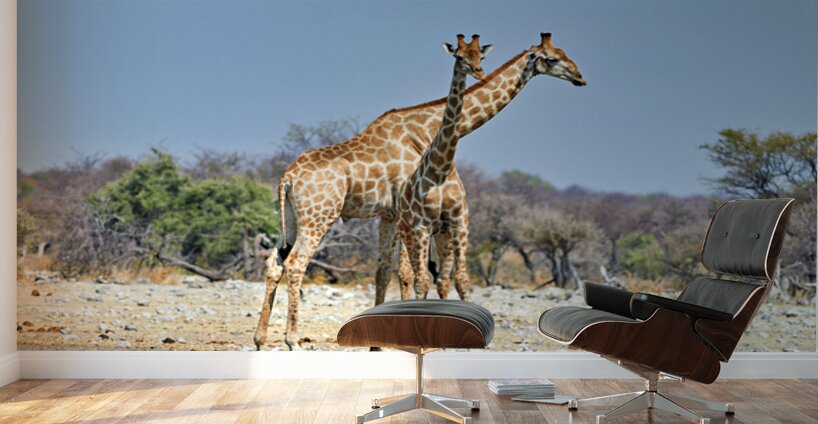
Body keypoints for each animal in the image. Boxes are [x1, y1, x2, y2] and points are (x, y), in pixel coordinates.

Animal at [396, 34, 492, 301]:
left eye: (481, 56)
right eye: (459, 56)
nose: (479, 72)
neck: (441, 170)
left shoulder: (459, 222)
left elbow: (462, 280)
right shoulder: (421, 225)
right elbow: (421, 282)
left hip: (442, 235)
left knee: (440, 279)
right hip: (407, 232)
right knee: (409, 275)